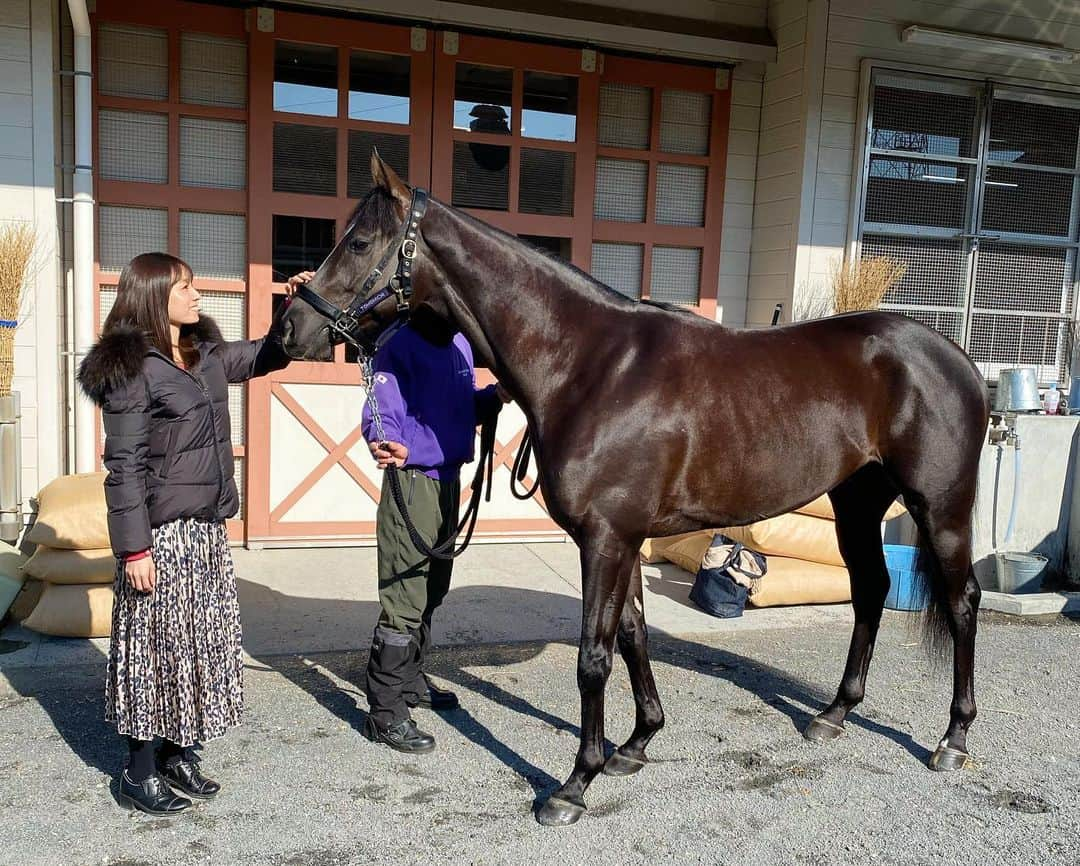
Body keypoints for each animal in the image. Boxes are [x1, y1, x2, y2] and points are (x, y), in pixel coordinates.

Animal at [282, 153, 989, 824]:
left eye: (359, 242)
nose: (291, 327)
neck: (590, 366)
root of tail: (957, 358)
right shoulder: (622, 539)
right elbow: (632, 636)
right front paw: (636, 744)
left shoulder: (606, 540)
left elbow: (594, 656)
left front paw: (574, 785)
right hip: (856, 503)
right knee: (870, 589)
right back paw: (834, 714)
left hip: (940, 508)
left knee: (962, 603)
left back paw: (953, 739)